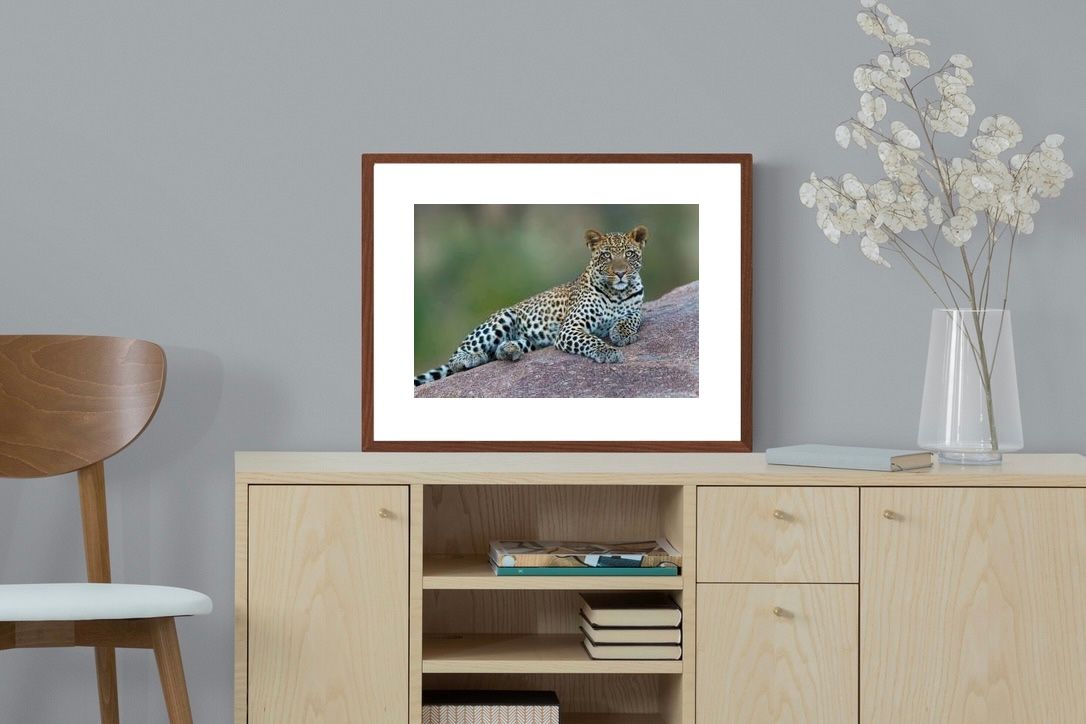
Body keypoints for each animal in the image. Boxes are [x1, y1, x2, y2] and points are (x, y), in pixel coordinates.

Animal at [414, 225, 648, 387]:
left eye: (629, 254)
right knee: (457, 357)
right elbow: (590, 340)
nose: (620, 273)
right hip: (503, 316)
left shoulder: (636, 308)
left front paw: (622, 333)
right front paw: (608, 352)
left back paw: (509, 350)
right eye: (606, 255)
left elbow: (632, 318)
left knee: (498, 351)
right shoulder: (570, 328)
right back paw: (473, 358)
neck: (618, 292)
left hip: (531, 342)